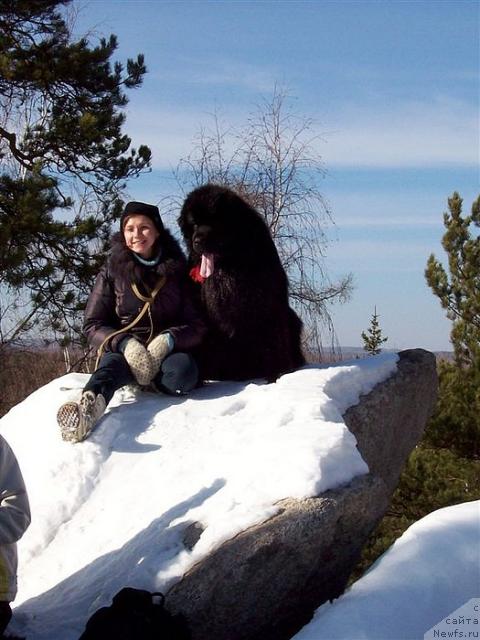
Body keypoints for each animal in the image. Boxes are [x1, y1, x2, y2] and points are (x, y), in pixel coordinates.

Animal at [176, 182, 304, 382]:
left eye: (215, 221)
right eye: (194, 224)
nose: (197, 240)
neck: (227, 266)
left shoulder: (265, 303)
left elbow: (272, 338)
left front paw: (277, 373)